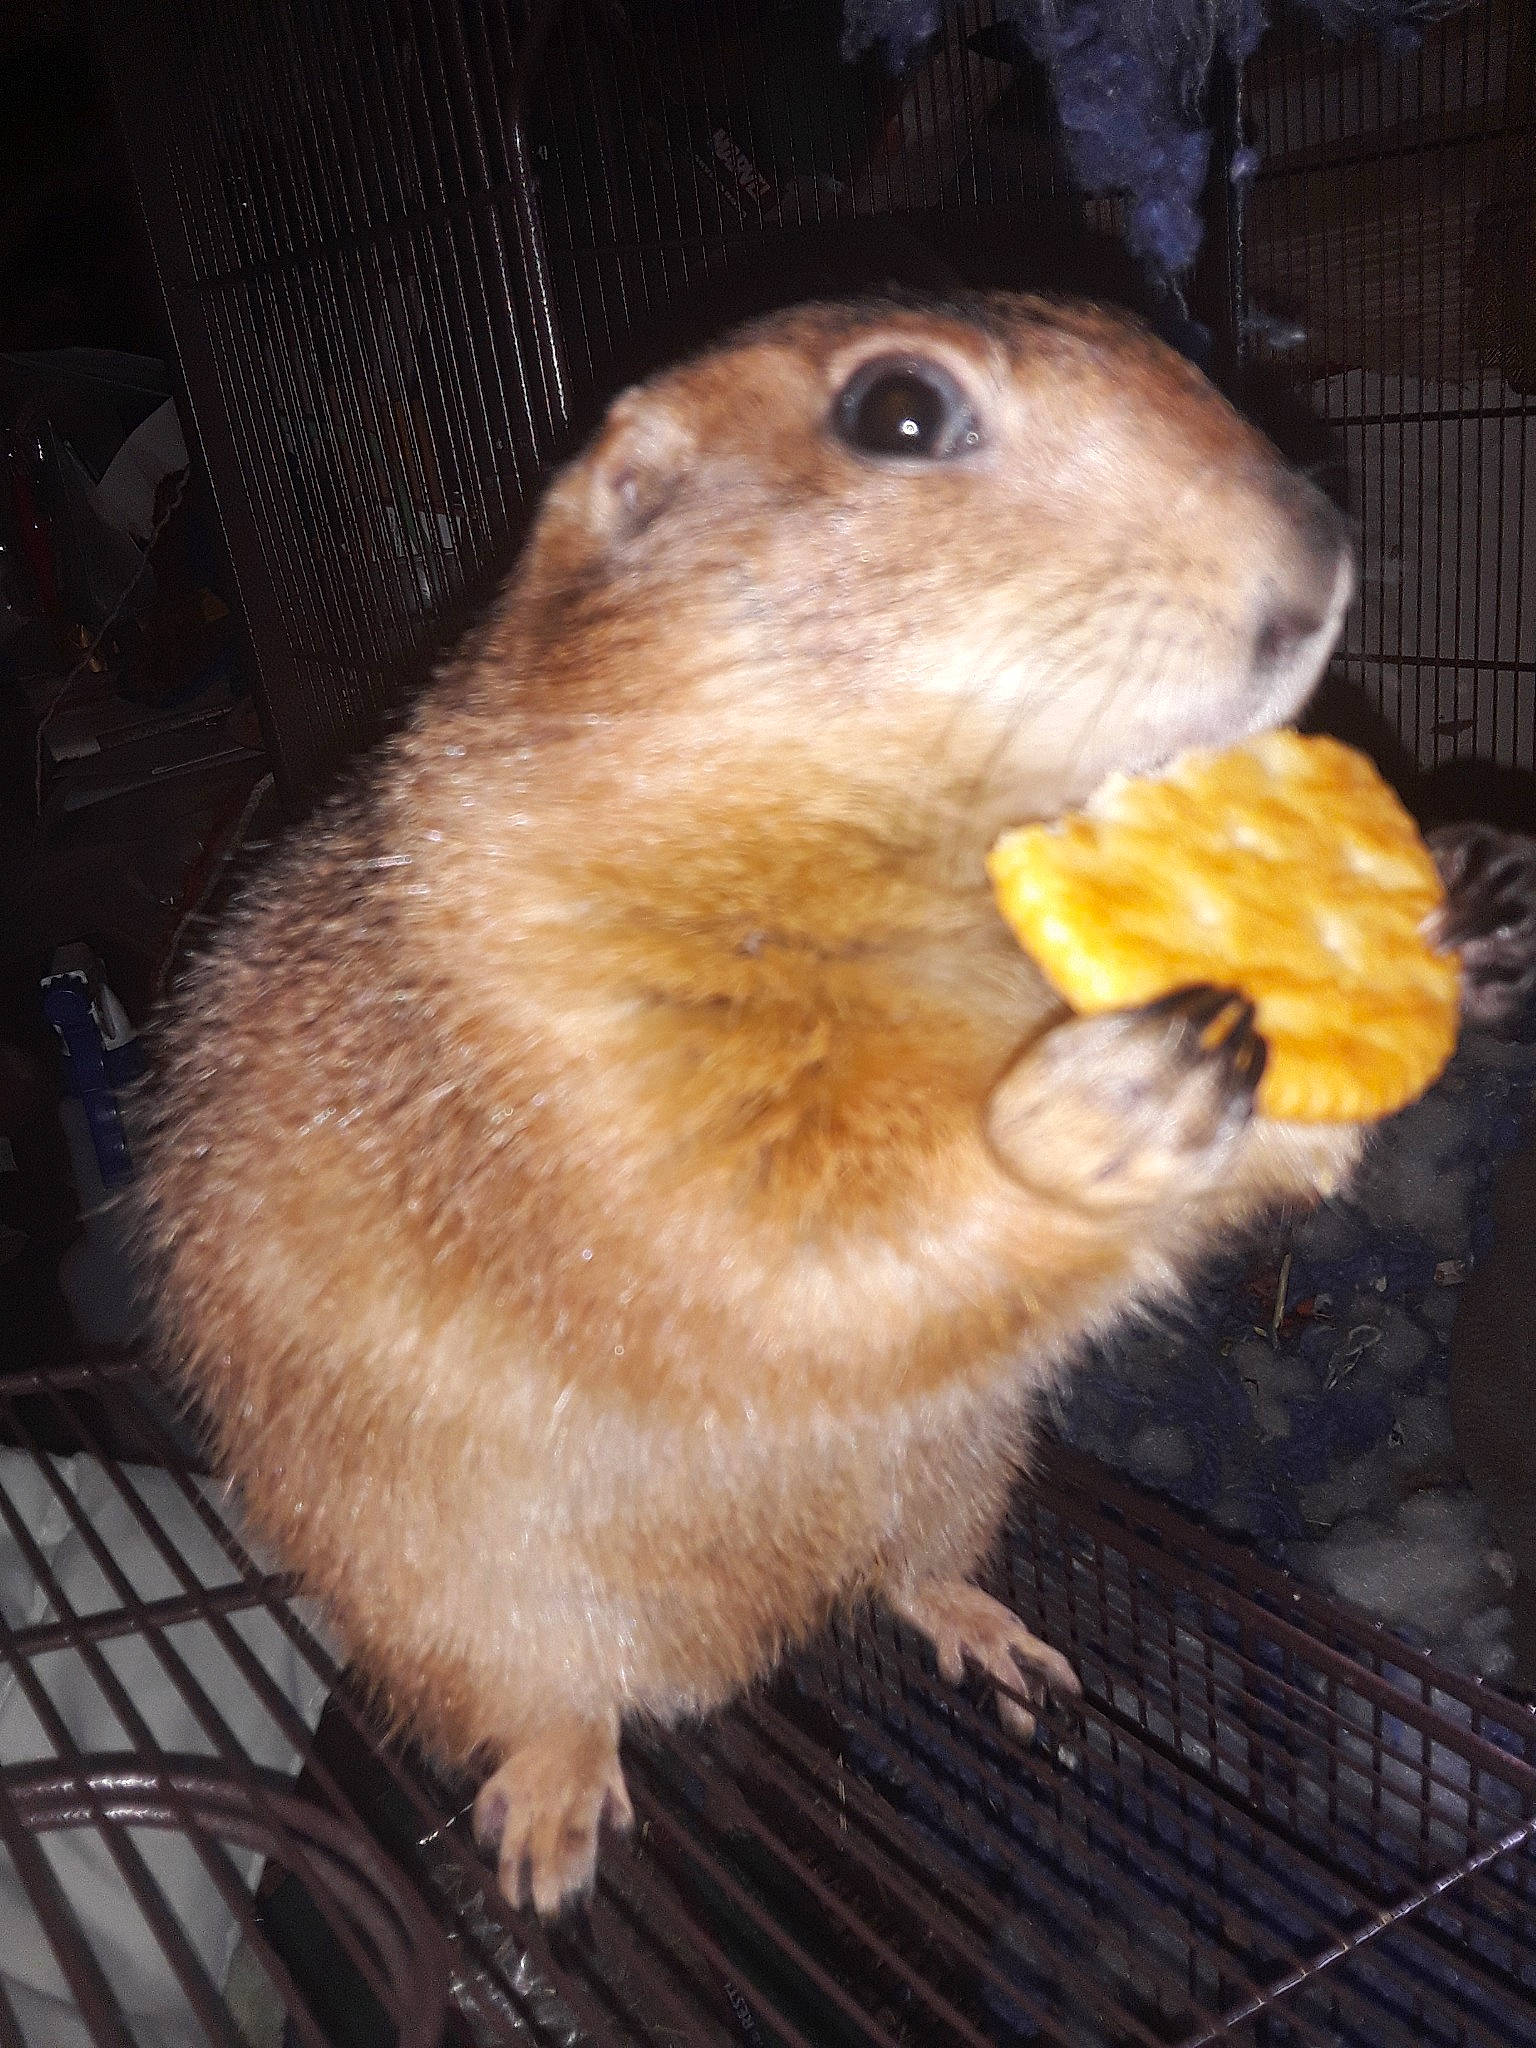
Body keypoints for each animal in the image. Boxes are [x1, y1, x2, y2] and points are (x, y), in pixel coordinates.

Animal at [138, 293, 1536, 1916]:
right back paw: (550, 1830)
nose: (1326, 537)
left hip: (960, 1474)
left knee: (906, 1574)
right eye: (899, 412)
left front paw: (1471, 903)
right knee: (550, 1704)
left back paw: (1013, 1657)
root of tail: (738, 1651)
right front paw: (1135, 1084)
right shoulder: (567, 1050)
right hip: (449, 1601)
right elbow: (784, 1246)